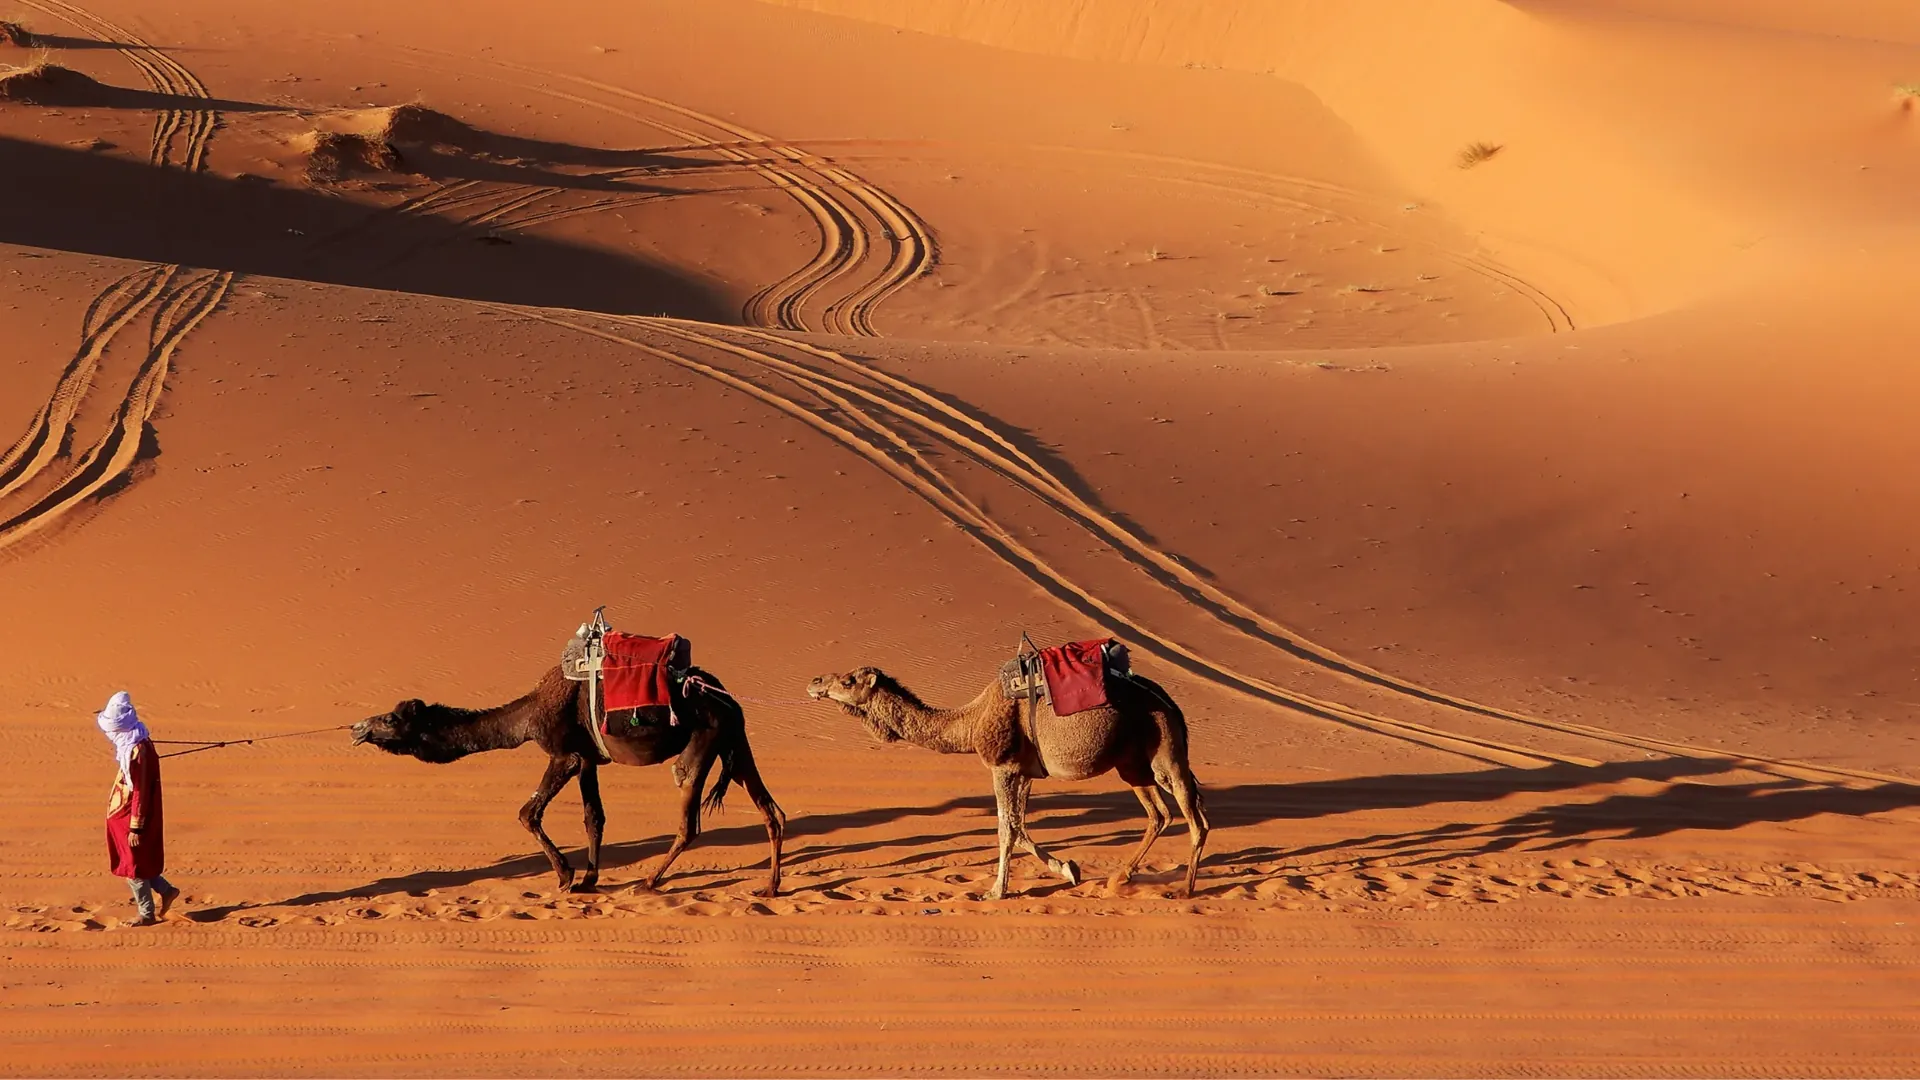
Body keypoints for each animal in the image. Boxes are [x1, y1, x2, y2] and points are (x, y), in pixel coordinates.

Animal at [352, 665, 785, 895]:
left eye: (390, 719)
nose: (357, 727)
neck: (527, 719)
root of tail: (728, 698)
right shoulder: (590, 758)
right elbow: (594, 817)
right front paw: (590, 879)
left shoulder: (565, 755)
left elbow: (528, 813)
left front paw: (566, 876)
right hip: (734, 742)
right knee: (771, 811)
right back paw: (769, 888)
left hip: (702, 739)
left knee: (688, 817)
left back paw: (647, 882)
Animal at [806, 664, 1208, 899]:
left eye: (847, 680)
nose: (814, 681)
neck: (970, 723)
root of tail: (1171, 703)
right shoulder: (1025, 770)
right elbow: (1020, 826)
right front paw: (1068, 869)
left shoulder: (1002, 766)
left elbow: (1005, 828)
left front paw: (996, 891)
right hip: (1132, 764)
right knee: (1159, 815)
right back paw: (1120, 878)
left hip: (1164, 751)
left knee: (1194, 818)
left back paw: (1186, 891)